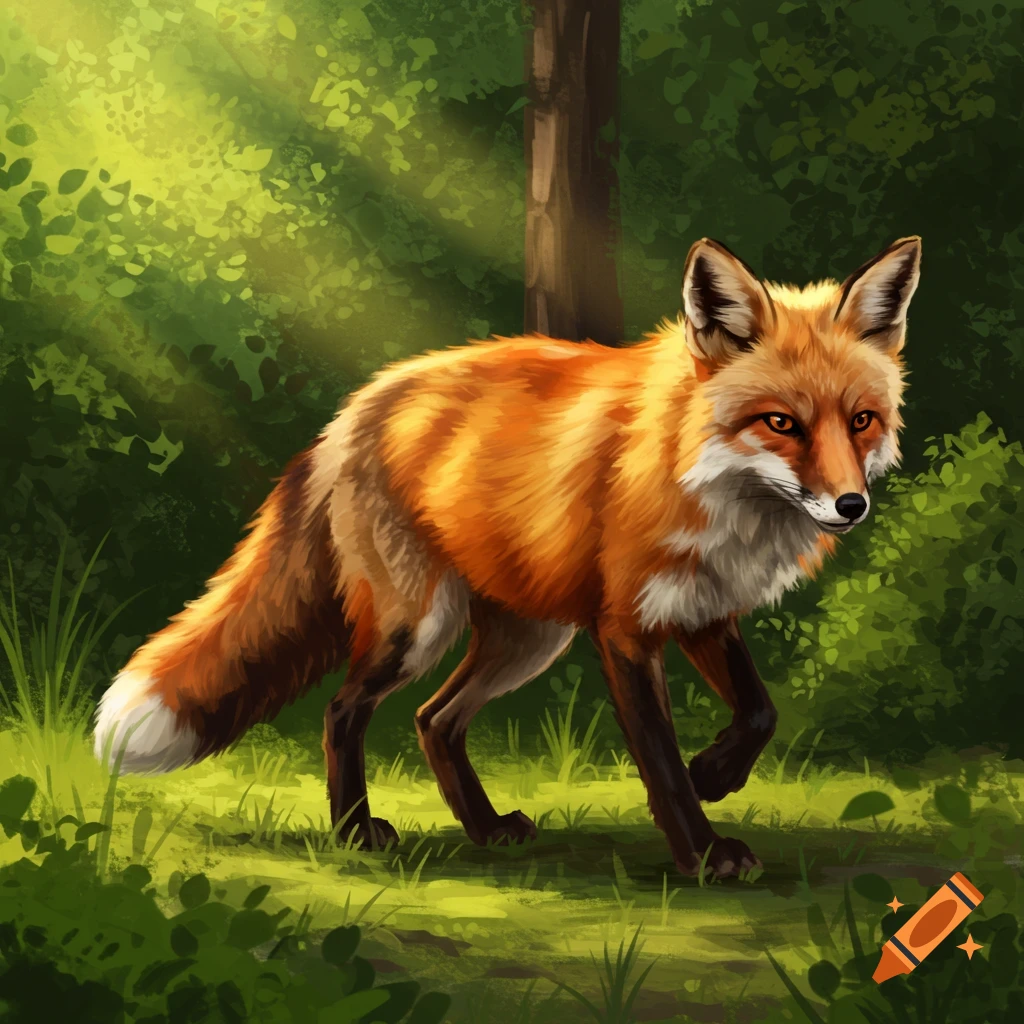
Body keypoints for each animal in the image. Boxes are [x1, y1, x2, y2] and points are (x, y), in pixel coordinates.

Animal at [93, 234, 921, 879]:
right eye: (781, 423)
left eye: (861, 421)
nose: (851, 506)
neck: (697, 474)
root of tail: (354, 407)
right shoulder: (624, 630)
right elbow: (660, 762)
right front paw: (702, 853)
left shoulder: (702, 610)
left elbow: (760, 710)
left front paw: (716, 772)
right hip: (419, 627)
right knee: (344, 708)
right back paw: (356, 832)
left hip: (529, 638)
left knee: (433, 720)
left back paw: (485, 828)